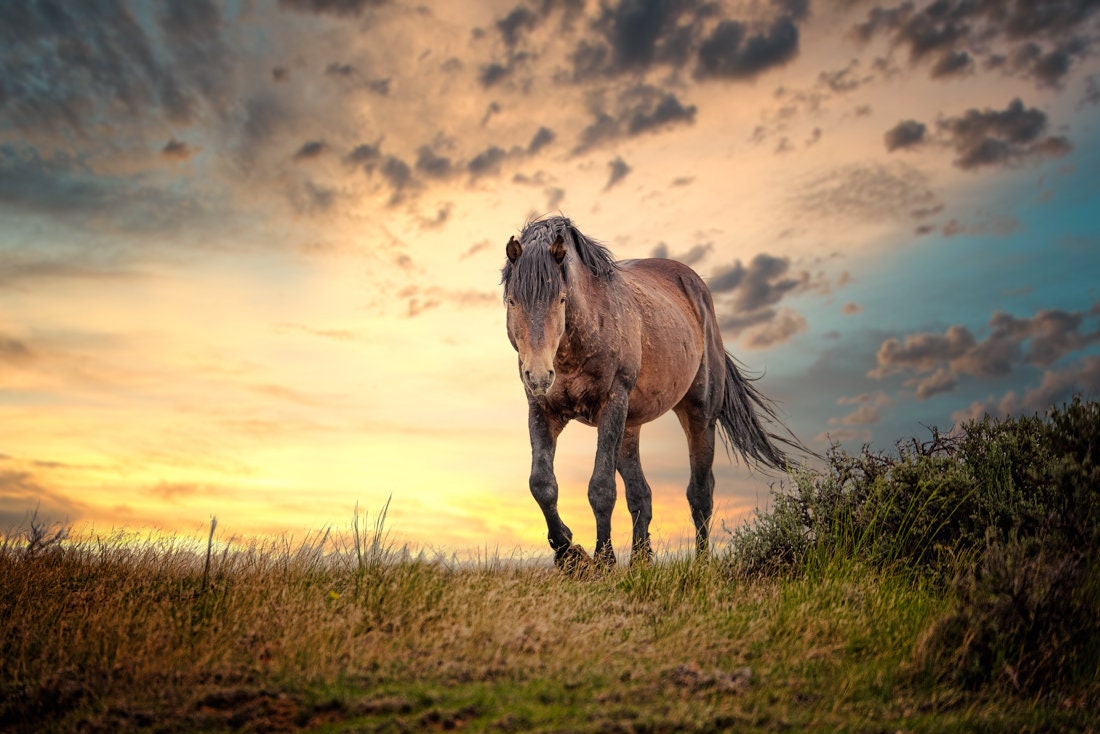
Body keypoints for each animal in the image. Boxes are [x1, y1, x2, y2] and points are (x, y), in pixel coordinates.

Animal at [501, 215, 803, 570]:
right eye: (512, 301)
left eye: (561, 299)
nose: (537, 375)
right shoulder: (544, 410)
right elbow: (543, 485)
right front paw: (569, 553)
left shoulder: (612, 404)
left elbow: (601, 489)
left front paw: (603, 559)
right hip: (629, 427)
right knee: (641, 494)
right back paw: (640, 561)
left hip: (698, 414)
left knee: (700, 492)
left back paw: (701, 564)